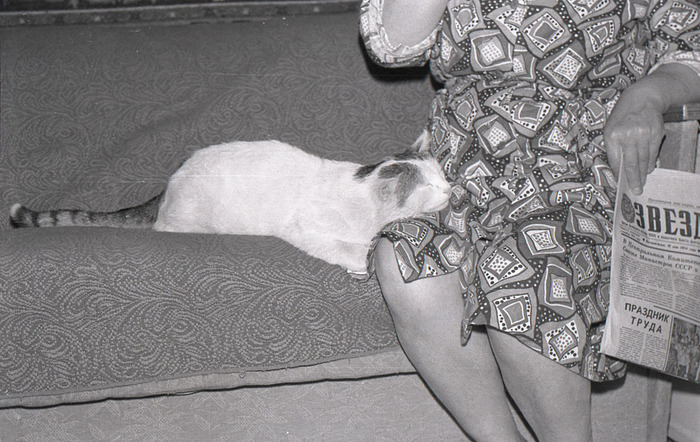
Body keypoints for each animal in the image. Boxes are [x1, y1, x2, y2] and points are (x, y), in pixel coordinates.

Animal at [10, 140, 452, 276]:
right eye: (429, 186)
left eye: (442, 175)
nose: (451, 190)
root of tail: (171, 181)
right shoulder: (303, 229)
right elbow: (345, 247)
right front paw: (361, 260)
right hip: (187, 223)